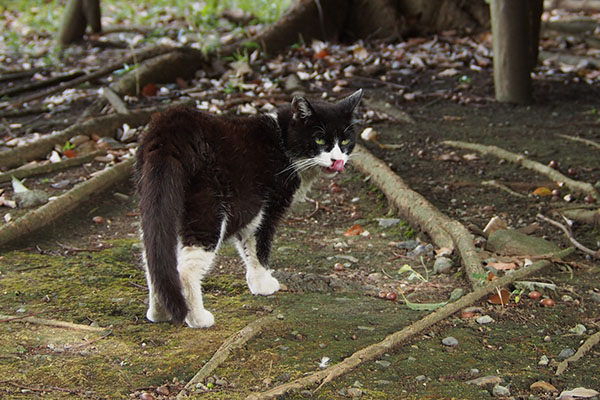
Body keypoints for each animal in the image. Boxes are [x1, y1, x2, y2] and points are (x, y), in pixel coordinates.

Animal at [135, 90, 360, 328]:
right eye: (319, 139)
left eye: (345, 140)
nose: (337, 160)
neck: (282, 142)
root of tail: (168, 132)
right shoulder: (266, 208)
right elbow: (259, 246)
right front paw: (264, 284)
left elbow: (247, 247)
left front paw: (256, 282)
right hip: (207, 206)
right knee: (186, 268)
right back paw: (197, 318)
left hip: (156, 201)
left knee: (155, 257)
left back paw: (159, 312)